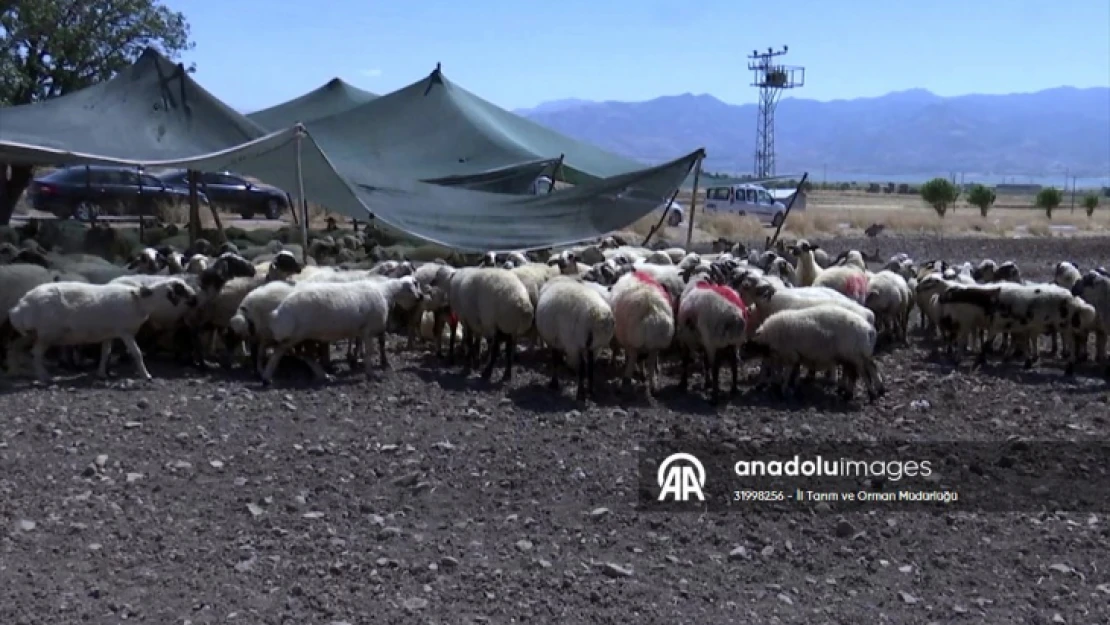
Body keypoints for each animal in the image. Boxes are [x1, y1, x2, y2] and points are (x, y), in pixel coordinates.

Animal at [8, 279, 195, 381]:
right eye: (180, 289)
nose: (195, 298)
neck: (139, 302)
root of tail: (21, 307)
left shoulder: (109, 333)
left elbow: (106, 353)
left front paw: (101, 374)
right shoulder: (125, 332)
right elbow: (136, 353)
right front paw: (146, 376)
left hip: (33, 333)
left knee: (15, 346)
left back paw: (15, 371)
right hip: (47, 333)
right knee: (36, 353)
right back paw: (43, 376)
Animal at [261, 276, 426, 384]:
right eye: (416, 284)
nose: (422, 297)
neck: (386, 292)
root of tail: (278, 312)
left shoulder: (361, 330)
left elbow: (359, 348)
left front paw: (356, 362)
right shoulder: (368, 329)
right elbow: (368, 353)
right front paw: (371, 374)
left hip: (305, 335)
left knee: (306, 356)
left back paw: (324, 376)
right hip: (297, 333)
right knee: (280, 351)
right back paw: (267, 377)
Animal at [741, 304, 888, 401]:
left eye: (746, 346)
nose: (740, 357)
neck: (768, 337)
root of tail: (869, 329)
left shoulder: (790, 354)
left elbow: (787, 373)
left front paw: (783, 389)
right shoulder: (791, 355)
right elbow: (788, 371)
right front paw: (788, 386)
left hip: (853, 354)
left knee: (860, 373)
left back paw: (863, 393)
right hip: (859, 354)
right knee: (870, 367)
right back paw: (876, 390)